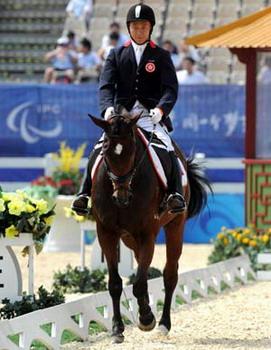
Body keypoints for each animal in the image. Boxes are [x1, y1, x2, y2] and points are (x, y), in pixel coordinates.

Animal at [90, 113, 211, 344]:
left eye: (133, 151)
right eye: (106, 150)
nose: (121, 197)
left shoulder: (148, 234)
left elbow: (139, 283)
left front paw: (146, 319)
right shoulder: (106, 233)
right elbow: (116, 283)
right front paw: (117, 329)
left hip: (175, 226)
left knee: (169, 274)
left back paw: (163, 323)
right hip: (129, 238)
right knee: (142, 267)